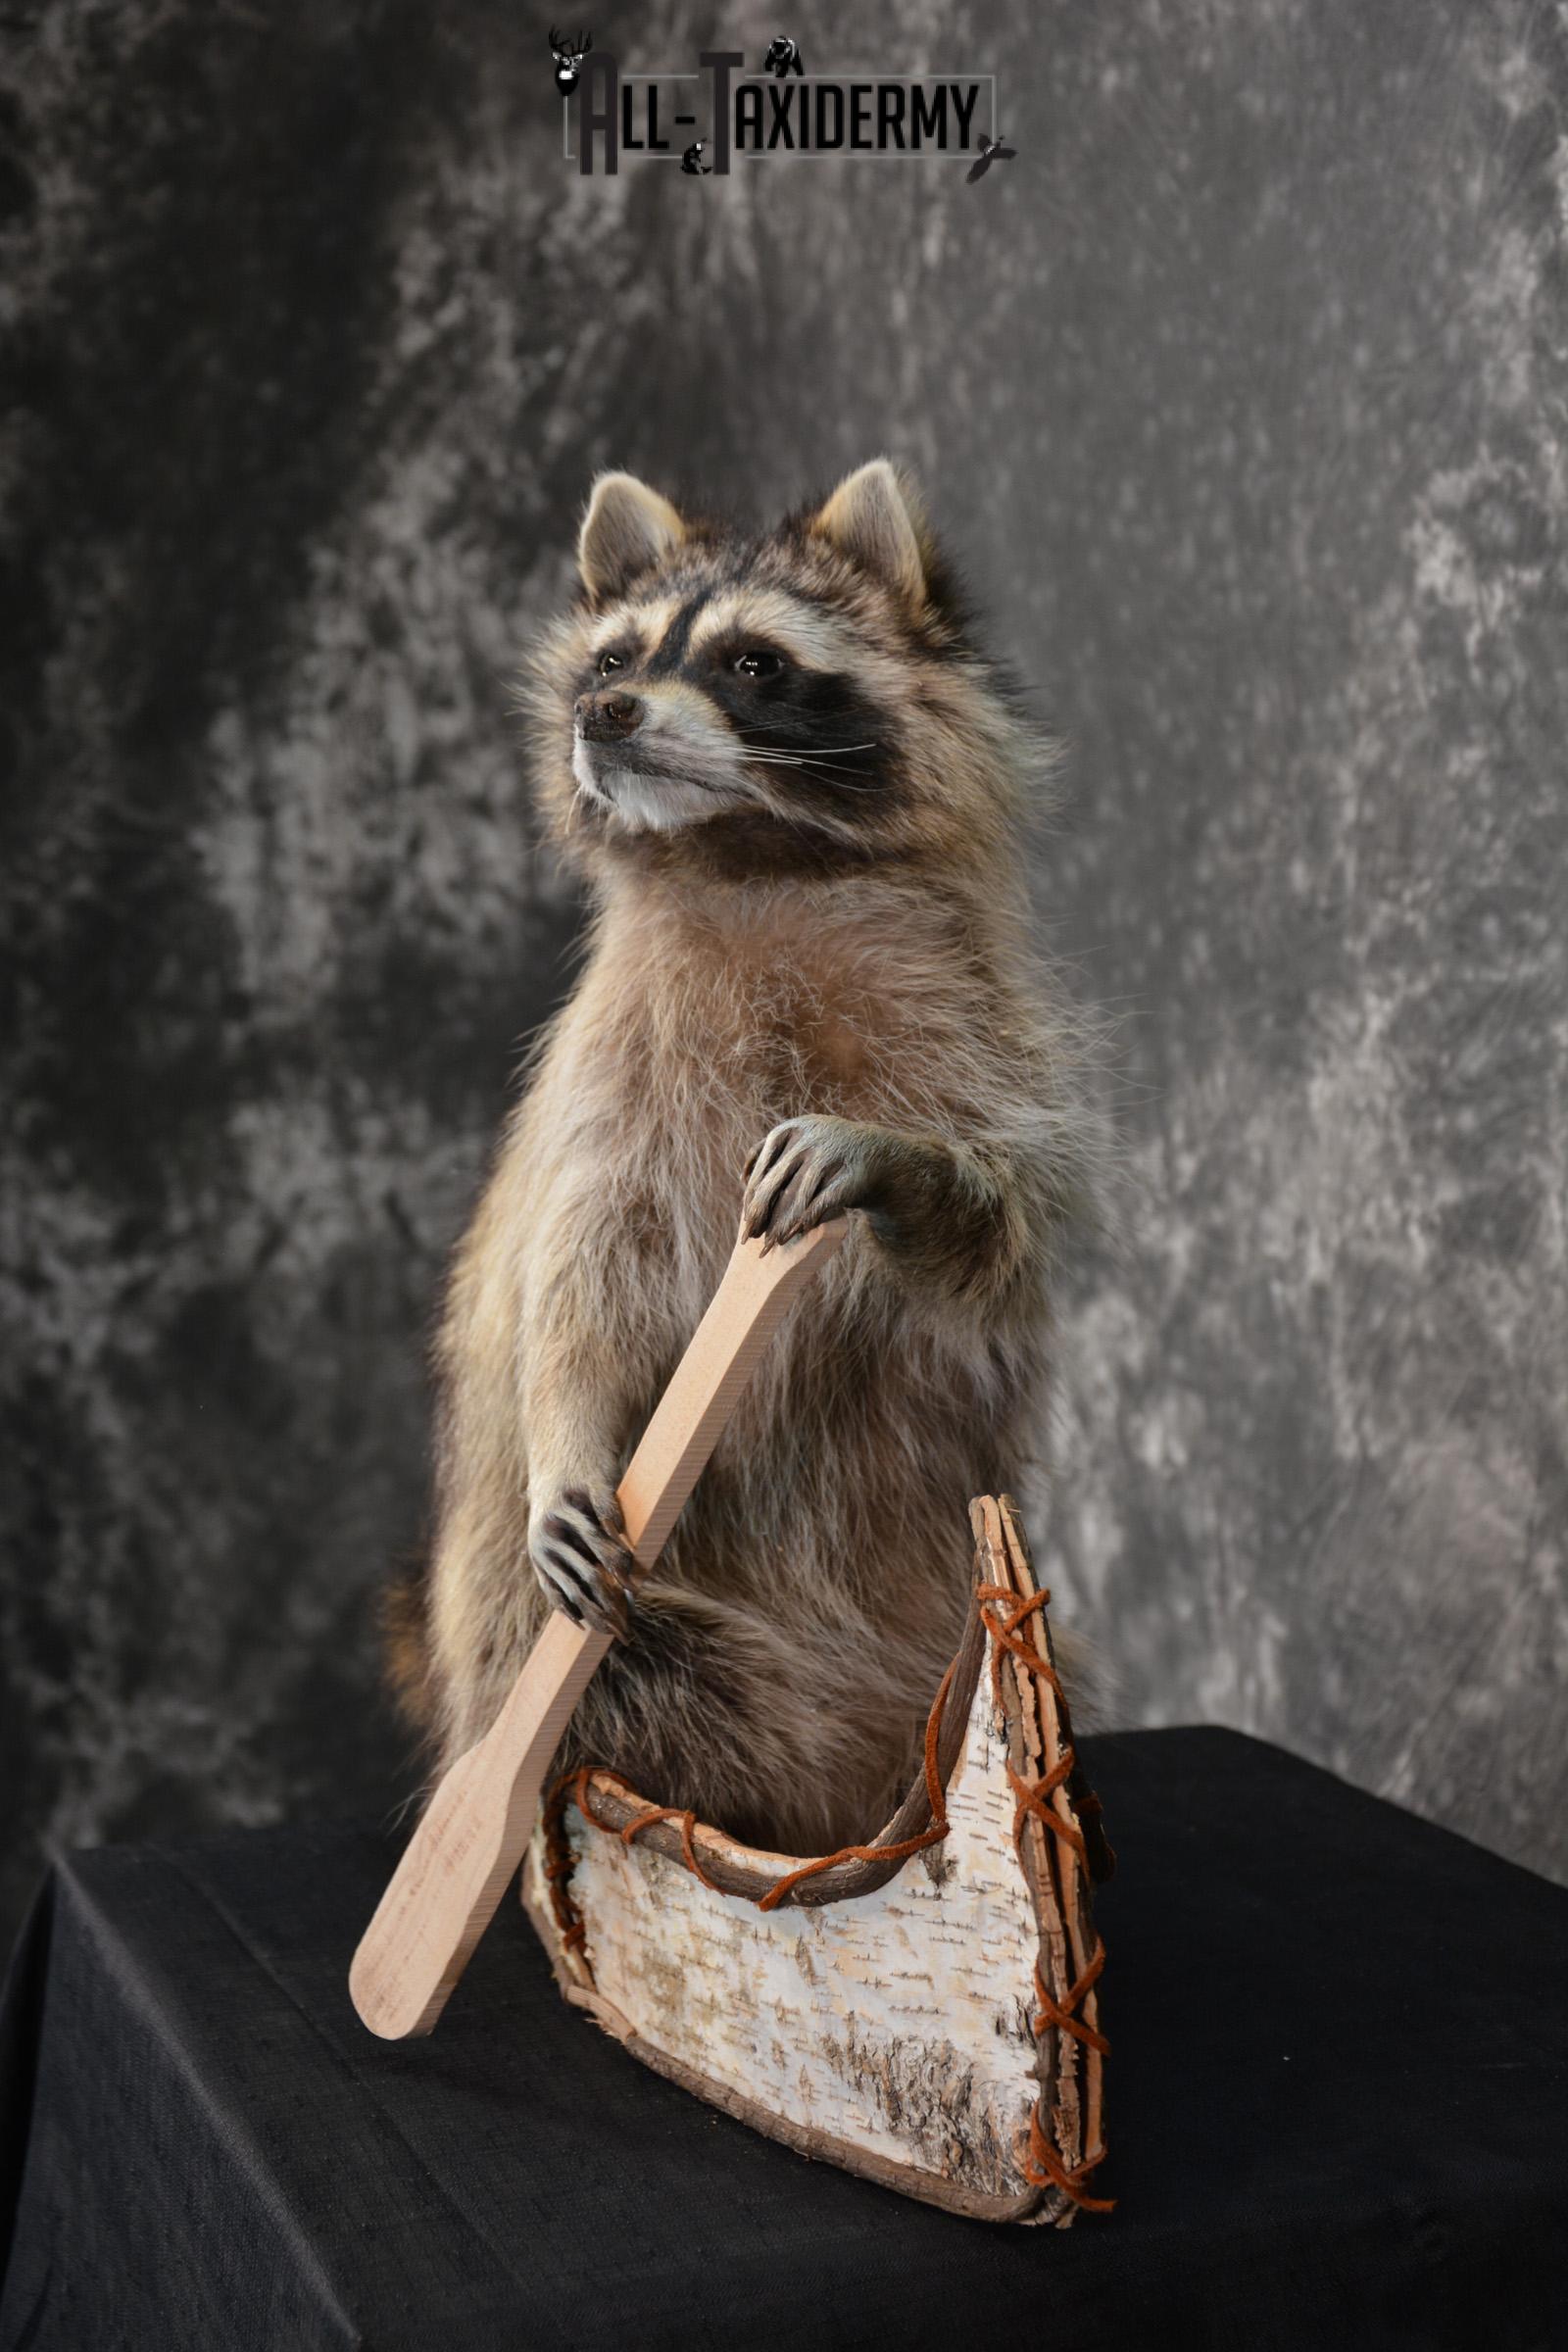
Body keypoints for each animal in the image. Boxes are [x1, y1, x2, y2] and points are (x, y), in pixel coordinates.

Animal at [391, 459, 1096, 1855]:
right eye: (615, 653)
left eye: (753, 663)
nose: (604, 710)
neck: (746, 851)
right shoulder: (606, 1081)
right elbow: (578, 1279)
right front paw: (565, 1434)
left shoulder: (980, 1032)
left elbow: (995, 1229)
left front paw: (897, 1164)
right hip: (522, 1625)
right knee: (623, 1669)